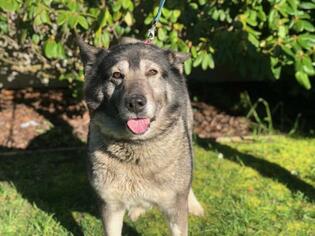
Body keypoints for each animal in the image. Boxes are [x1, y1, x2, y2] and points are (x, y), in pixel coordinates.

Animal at [77, 35, 204, 236]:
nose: (136, 103)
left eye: (152, 72)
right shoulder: (110, 206)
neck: (136, 147)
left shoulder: (175, 209)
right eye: (116, 75)